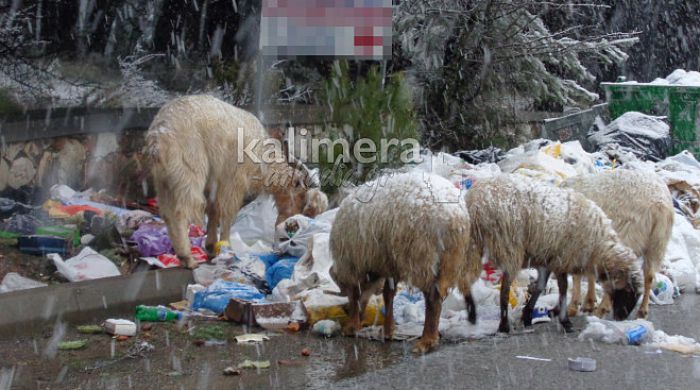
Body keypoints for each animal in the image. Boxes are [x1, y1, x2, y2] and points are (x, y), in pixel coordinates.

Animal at [146, 96, 318, 270]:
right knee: (180, 211)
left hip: (164, 180)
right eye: (302, 197)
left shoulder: (214, 183)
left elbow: (213, 210)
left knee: (167, 213)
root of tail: (158, 136)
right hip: (188, 173)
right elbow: (227, 212)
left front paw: (211, 246)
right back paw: (187, 258)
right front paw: (225, 247)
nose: (290, 225)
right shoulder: (233, 180)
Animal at [328, 172, 476, 354]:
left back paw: (426, 340)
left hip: (421, 255)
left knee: (432, 298)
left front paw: (351, 326)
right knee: (439, 294)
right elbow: (388, 293)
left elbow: (356, 293)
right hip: (451, 258)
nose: (346, 311)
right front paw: (388, 330)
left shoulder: (353, 262)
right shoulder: (389, 264)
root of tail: (453, 216)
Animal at [462, 175, 644, 334]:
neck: (598, 248)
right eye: (629, 291)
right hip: (508, 246)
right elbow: (563, 288)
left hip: (474, 242)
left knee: (465, 278)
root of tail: (476, 200)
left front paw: (527, 315)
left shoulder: (547, 258)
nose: (622, 318)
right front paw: (565, 322)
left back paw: (472, 314)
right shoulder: (562, 258)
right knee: (504, 288)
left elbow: (540, 286)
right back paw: (503, 325)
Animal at [556, 170, 672, 320]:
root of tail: (659, 204)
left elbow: (578, 275)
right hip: (658, 243)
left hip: (628, 234)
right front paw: (589, 302)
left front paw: (574, 306)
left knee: (620, 274)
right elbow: (590, 272)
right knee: (649, 275)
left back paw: (602, 310)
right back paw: (642, 311)